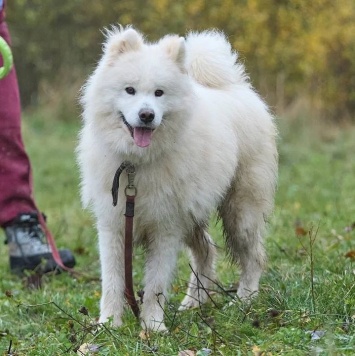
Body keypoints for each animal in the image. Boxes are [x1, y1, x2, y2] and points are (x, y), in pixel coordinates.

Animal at [78, 26, 278, 332]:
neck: (136, 165)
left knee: (253, 257)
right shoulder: (114, 226)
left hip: (240, 212)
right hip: (193, 215)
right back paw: (194, 303)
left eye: (159, 93)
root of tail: (236, 87)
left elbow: (156, 284)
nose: (146, 115)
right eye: (130, 90)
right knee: (207, 252)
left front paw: (152, 327)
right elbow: (112, 282)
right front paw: (109, 324)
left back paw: (244, 300)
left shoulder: (166, 227)